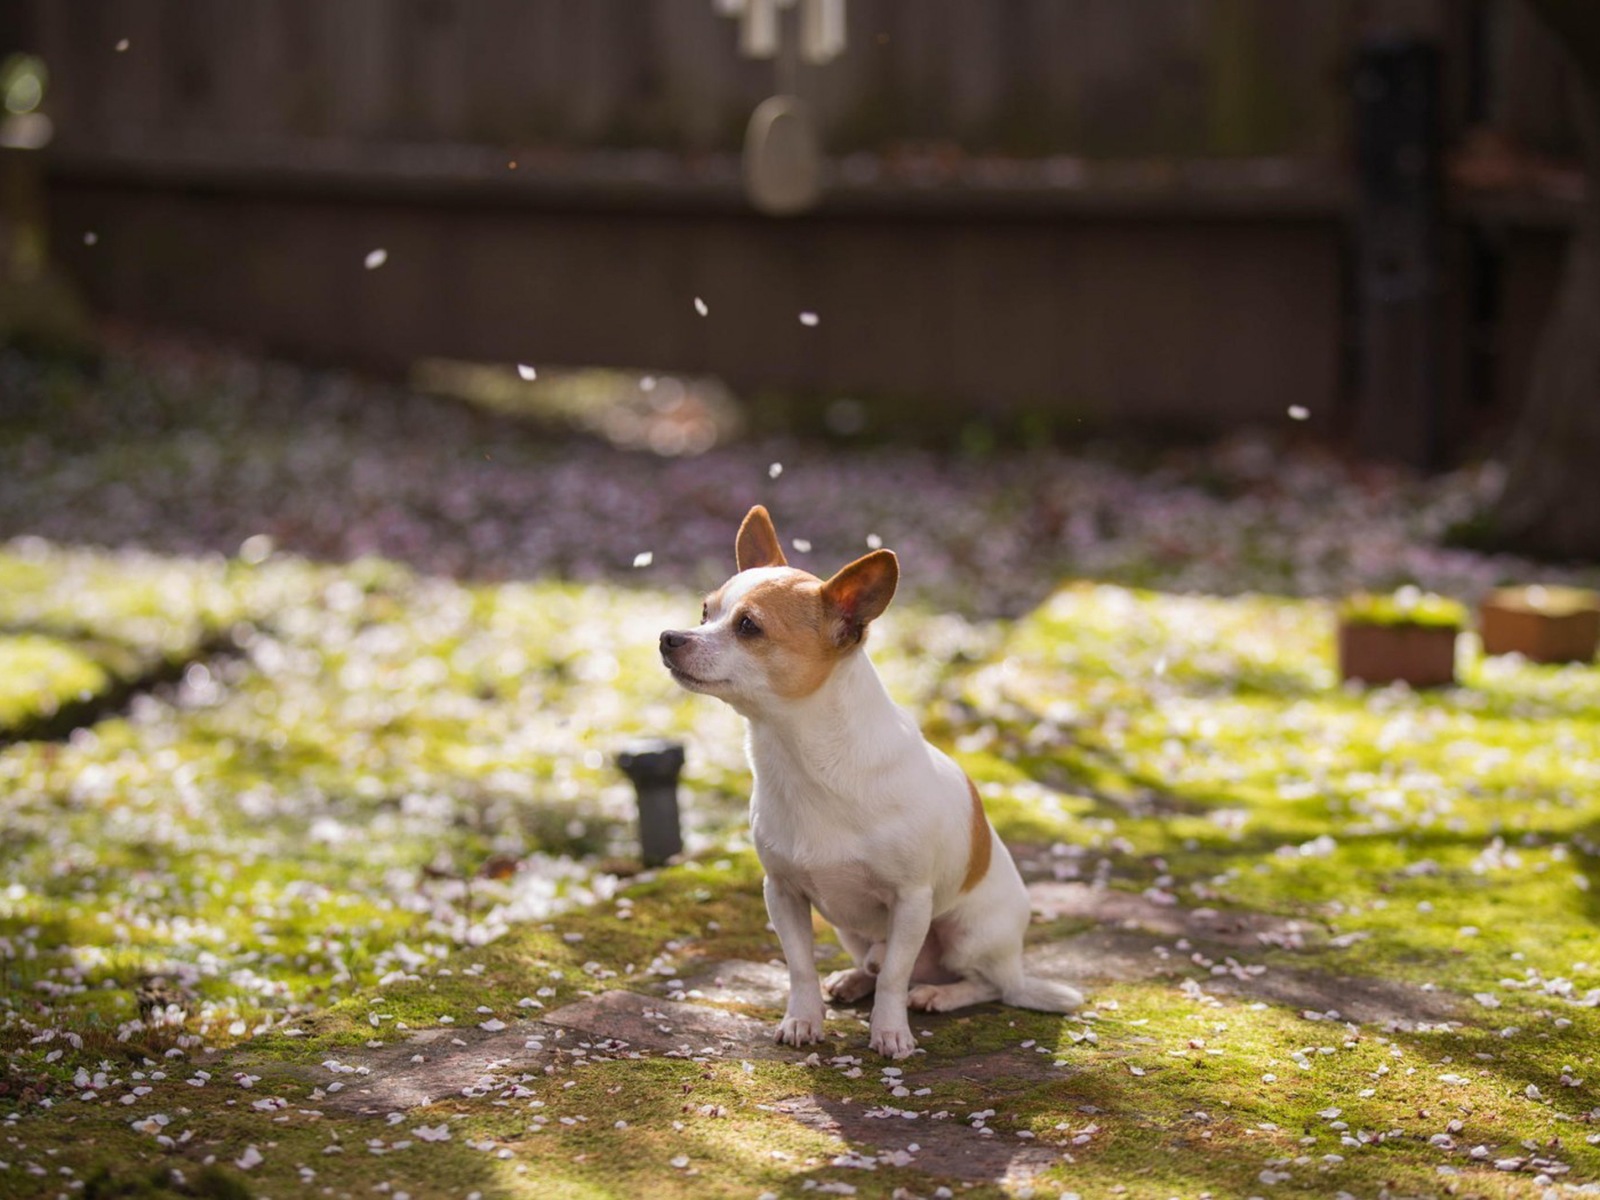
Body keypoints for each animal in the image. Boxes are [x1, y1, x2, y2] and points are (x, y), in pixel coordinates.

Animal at [656, 508, 1081, 1062]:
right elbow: (800, 966)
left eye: (748, 626)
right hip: (852, 930)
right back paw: (856, 979)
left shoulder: (912, 901)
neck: (805, 760)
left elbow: (897, 976)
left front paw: (890, 1031)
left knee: (985, 984)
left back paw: (940, 994)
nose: (668, 637)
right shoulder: (783, 893)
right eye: (705, 612)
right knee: (879, 963)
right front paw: (803, 1019)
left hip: (967, 933)